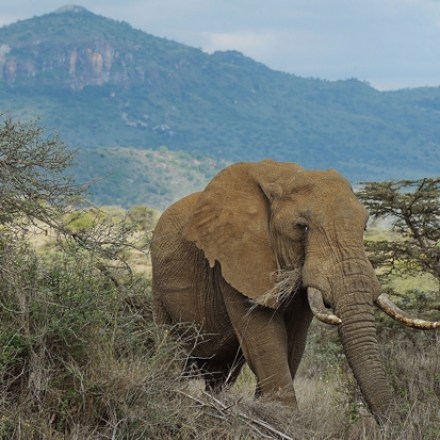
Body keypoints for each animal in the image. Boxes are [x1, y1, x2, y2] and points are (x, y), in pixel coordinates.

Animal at [150, 159, 439, 423]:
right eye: (302, 227)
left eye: (365, 227)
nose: (393, 423)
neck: (282, 178)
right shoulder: (233, 262)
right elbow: (265, 339)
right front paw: (283, 420)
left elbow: (294, 342)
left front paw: (270, 414)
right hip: (159, 291)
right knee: (171, 353)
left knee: (221, 373)